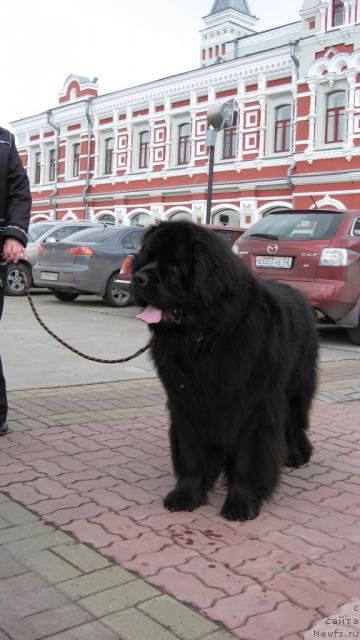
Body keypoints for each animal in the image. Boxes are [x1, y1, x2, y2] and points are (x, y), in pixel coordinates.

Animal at [133, 220, 318, 520]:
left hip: (297, 388)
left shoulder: (252, 406)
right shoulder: (187, 403)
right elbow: (192, 455)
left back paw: (296, 455)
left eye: (173, 266)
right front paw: (186, 495)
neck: (207, 339)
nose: (138, 278)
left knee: (294, 423)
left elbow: (246, 459)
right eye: (146, 259)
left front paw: (241, 503)